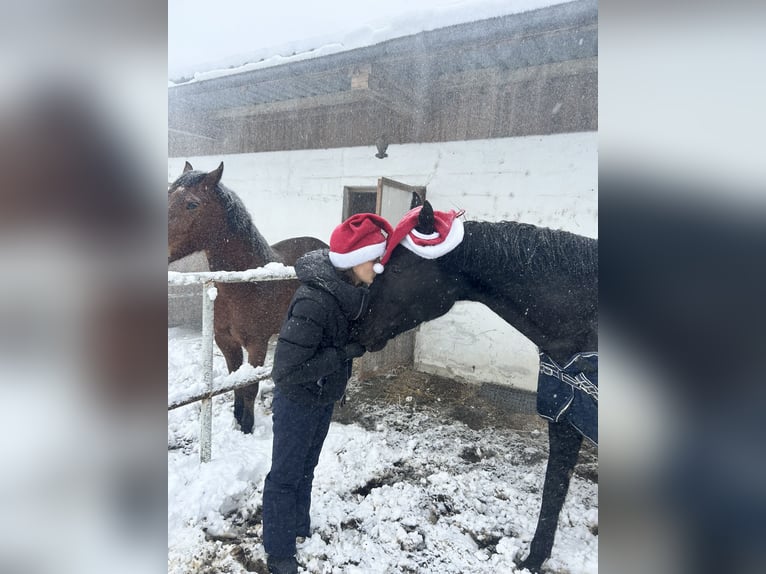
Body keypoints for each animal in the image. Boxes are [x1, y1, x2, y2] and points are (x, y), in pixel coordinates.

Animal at [168, 161, 328, 432]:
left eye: (192, 204)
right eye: (168, 193)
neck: (245, 285)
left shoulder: (257, 344)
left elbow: (249, 387)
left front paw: (247, 427)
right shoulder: (225, 342)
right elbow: (235, 384)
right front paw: (237, 419)